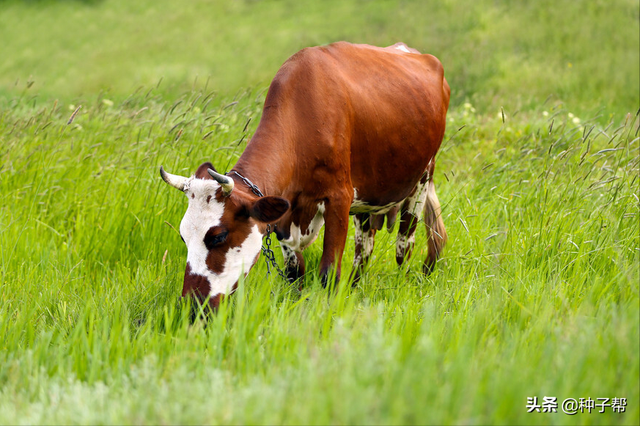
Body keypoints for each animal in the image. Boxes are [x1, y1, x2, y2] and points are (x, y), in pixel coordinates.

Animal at [160, 41, 450, 308]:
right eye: (184, 236)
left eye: (218, 236)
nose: (190, 305)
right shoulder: (284, 213)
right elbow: (294, 273)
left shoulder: (340, 198)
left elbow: (329, 273)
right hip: (369, 199)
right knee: (364, 249)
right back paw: (355, 287)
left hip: (422, 179)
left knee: (404, 244)